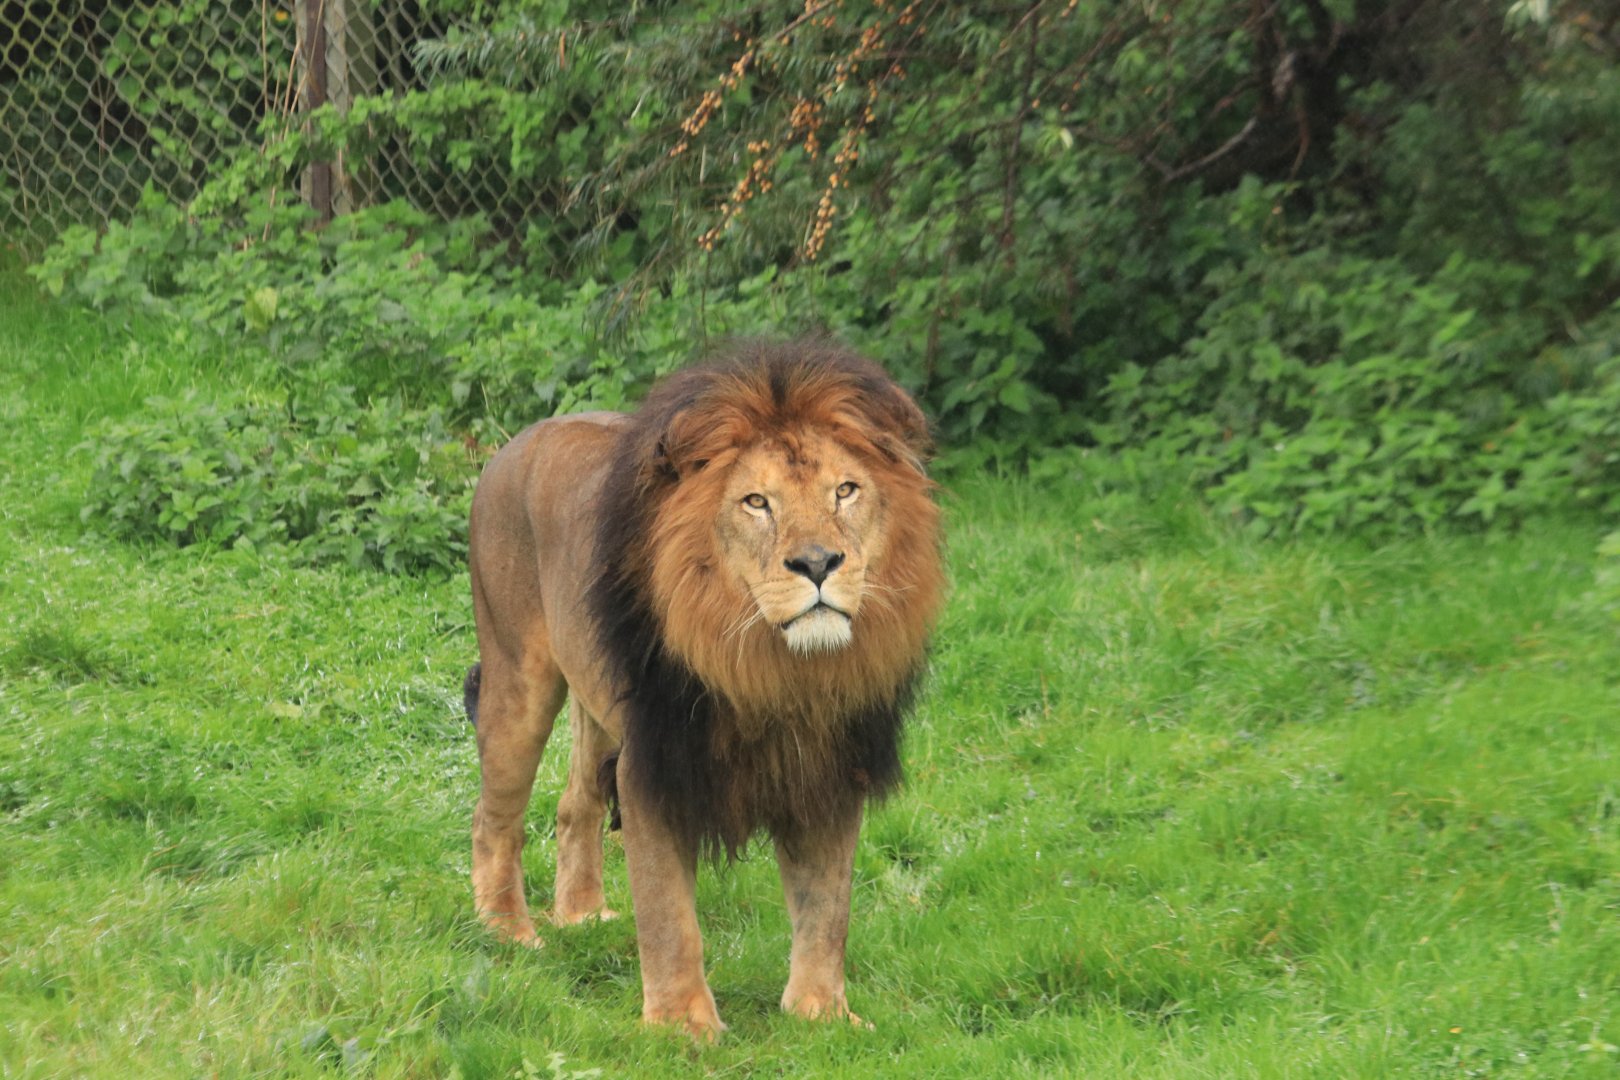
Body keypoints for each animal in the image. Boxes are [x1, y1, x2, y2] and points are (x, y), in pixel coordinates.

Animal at [462, 339, 944, 1039]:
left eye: (846, 491)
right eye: (756, 502)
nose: (819, 563)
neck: (779, 673)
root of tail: (514, 442)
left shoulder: (831, 768)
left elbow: (827, 909)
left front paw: (822, 1014)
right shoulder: (654, 764)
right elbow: (669, 917)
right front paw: (683, 1028)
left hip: (599, 702)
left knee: (574, 804)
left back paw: (582, 916)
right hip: (516, 681)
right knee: (494, 816)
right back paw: (507, 932)